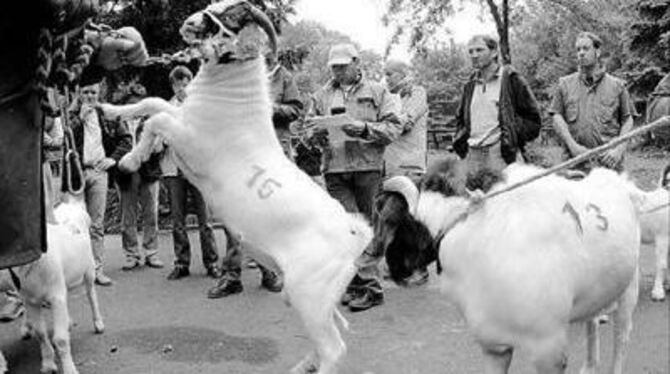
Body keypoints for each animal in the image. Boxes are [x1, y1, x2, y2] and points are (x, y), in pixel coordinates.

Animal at [10, 194, 103, 374]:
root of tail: (72, 205)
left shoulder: (56, 295)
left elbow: (60, 339)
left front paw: (69, 369)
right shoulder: (30, 299)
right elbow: (40, 333)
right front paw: (48, 365)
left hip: (88, 268)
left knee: (91, 295)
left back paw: (98, 324)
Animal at [98, 1, 372, 372]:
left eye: (231, 18)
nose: (188, 24)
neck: (232, 98)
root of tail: (353, 234)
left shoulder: (190, 141)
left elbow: (157, 117)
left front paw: (129, 159)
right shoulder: (183, 120)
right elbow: (153, 104)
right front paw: (113, 113)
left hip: (310, 294)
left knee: (334, 348)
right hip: (307, 299)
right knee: (330, 336)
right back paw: (301, 366)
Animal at [396, 161, 644, 374]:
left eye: (411, 223)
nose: (401, 271)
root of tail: (620, 182)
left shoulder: (549, 348)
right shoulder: (494, 345)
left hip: (628, 290)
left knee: (622, 339)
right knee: (592, 324)